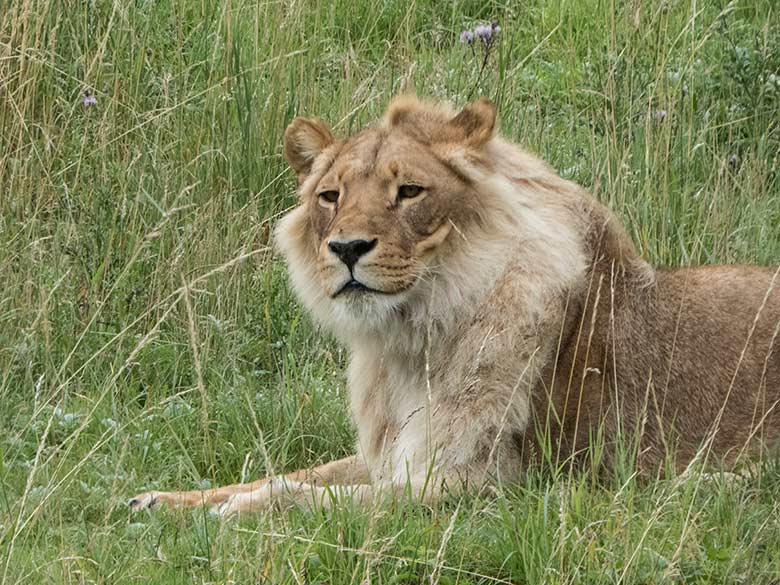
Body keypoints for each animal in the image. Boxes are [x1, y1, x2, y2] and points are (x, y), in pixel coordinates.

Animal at [129, 93, 780, 512]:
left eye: (409, 191)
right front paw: (160, 500)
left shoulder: (482, 483)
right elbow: (291, 474)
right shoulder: (396, 452)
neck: (409, 342)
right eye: (330, 197)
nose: (346, 248)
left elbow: (318, 499)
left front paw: (239, 514)